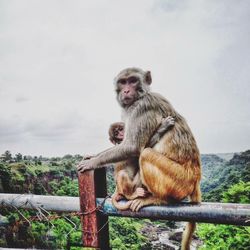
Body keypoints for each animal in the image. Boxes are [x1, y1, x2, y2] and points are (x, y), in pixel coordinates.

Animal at [78, 68, 201, 250]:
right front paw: (92, 158)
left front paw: (91, 160)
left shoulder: (141, 107)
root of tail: (196, 178)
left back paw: (160, 199)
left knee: (146, 154)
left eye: (132, 80)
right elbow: (134, 148)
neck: (141, 96)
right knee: (145, 154)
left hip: (180, 180)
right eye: (123, 82)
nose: (126, 91)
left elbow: (133, 147)